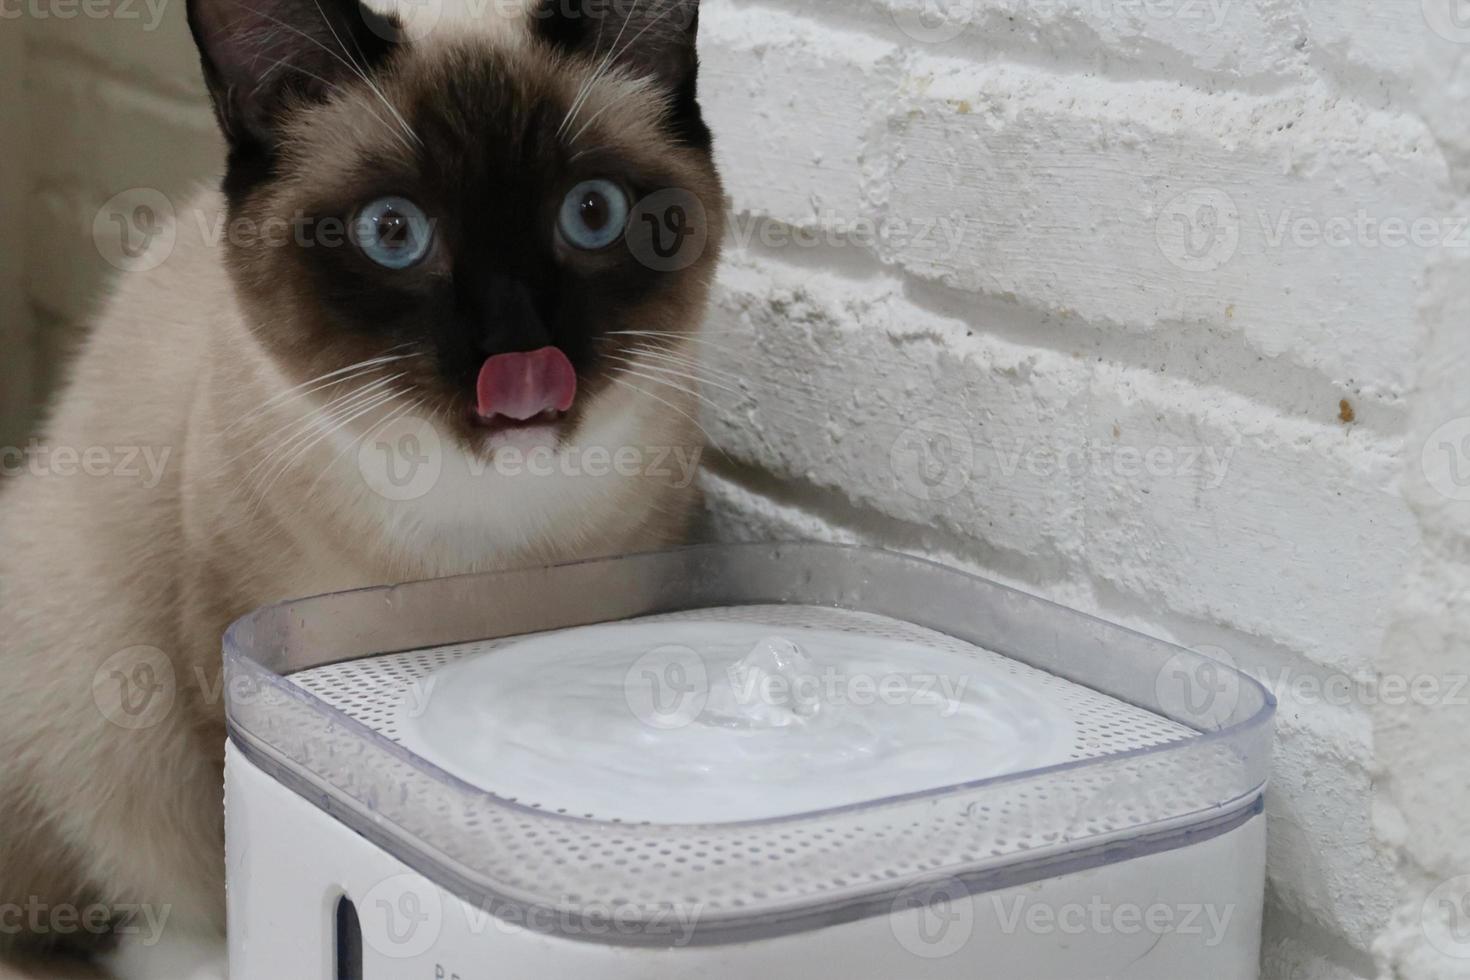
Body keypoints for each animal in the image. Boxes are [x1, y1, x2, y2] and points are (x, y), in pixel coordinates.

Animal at [0, 0, 723, 975]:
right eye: (393, 233)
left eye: (592, 213)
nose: (518, 347)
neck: (485, 545)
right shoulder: (219, 681)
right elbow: (228, 873)